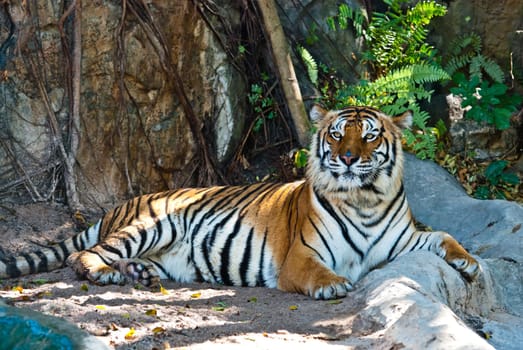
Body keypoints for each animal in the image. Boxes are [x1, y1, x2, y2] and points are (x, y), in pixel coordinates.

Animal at [0, 104, 478, 298]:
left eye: (371, 136)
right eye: (338, 134)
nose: (346, 158)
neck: (365, 199)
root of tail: (119, 206)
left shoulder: (403, 240)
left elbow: (443, 235)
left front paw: (470, 262)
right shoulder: (300, 256)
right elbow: (318, 272)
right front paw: (333, 285)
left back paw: (138, 273)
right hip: (155, 223)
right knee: (83, 254)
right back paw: (109, 274)